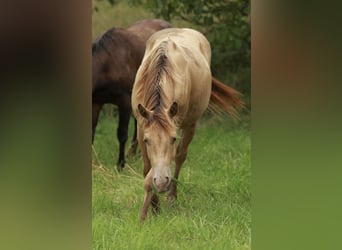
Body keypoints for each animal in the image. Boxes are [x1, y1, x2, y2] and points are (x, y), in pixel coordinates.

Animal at [131, 28, 243, 220]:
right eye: (147, 140)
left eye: (173, 139)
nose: (162, 182)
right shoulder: (140, 128)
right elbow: (147, 167)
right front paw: (154, 206)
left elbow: (174, 157)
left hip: (191, 125)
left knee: (180, 157)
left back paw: (171, 197)